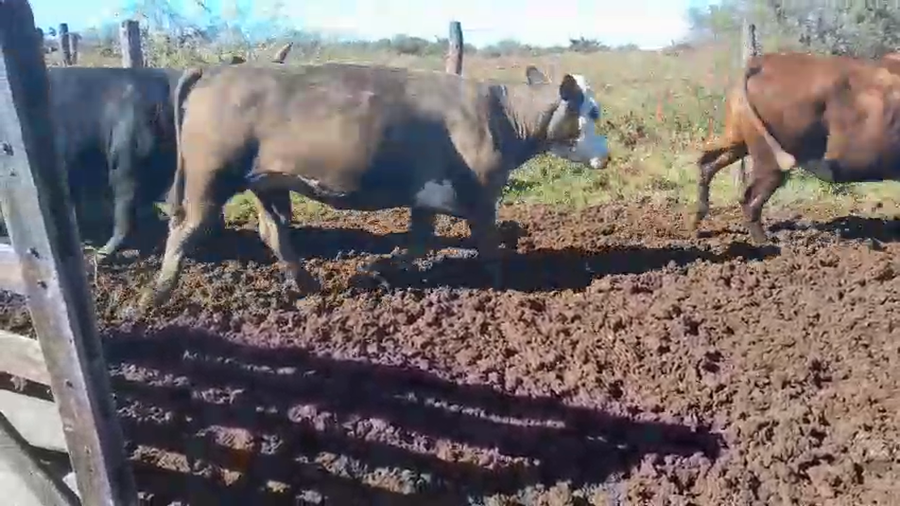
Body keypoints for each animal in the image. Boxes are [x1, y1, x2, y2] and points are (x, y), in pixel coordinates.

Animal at [135, 62, 610, 311]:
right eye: (593, 112)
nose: (606, 154)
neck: (500, 114)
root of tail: (216, 71)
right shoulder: (480, 195)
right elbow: (489, 246)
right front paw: (503, 287)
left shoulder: (428, 197)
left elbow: (418, 242)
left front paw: (373, 270)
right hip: (210, 179)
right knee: (186, 230)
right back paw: (157, 294)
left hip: (266, 181)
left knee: (273, 231)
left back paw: (304, 284)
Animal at [691, 52, 900, 244]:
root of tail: (763, 61)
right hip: (768, 158)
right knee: (749, 197)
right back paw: (765, 244)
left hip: (737, 139)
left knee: (707, 162)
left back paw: (696, 221)